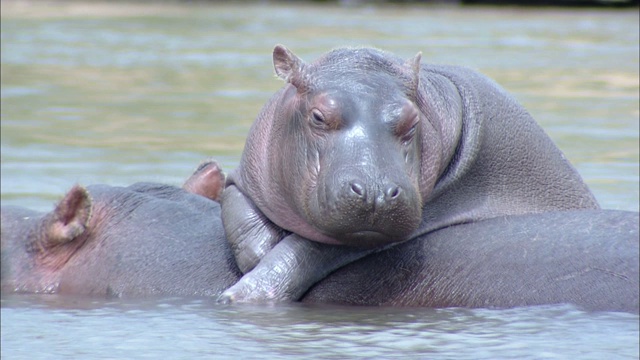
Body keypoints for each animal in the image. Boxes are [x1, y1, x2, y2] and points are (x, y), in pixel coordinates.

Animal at [219, 46, 600, 302]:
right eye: (317, 116)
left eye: (412, 120)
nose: (375, 192)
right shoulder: (247, 174)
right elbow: (233, 204)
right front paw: (259, 250)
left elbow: (307, 251)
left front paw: (240, 295)